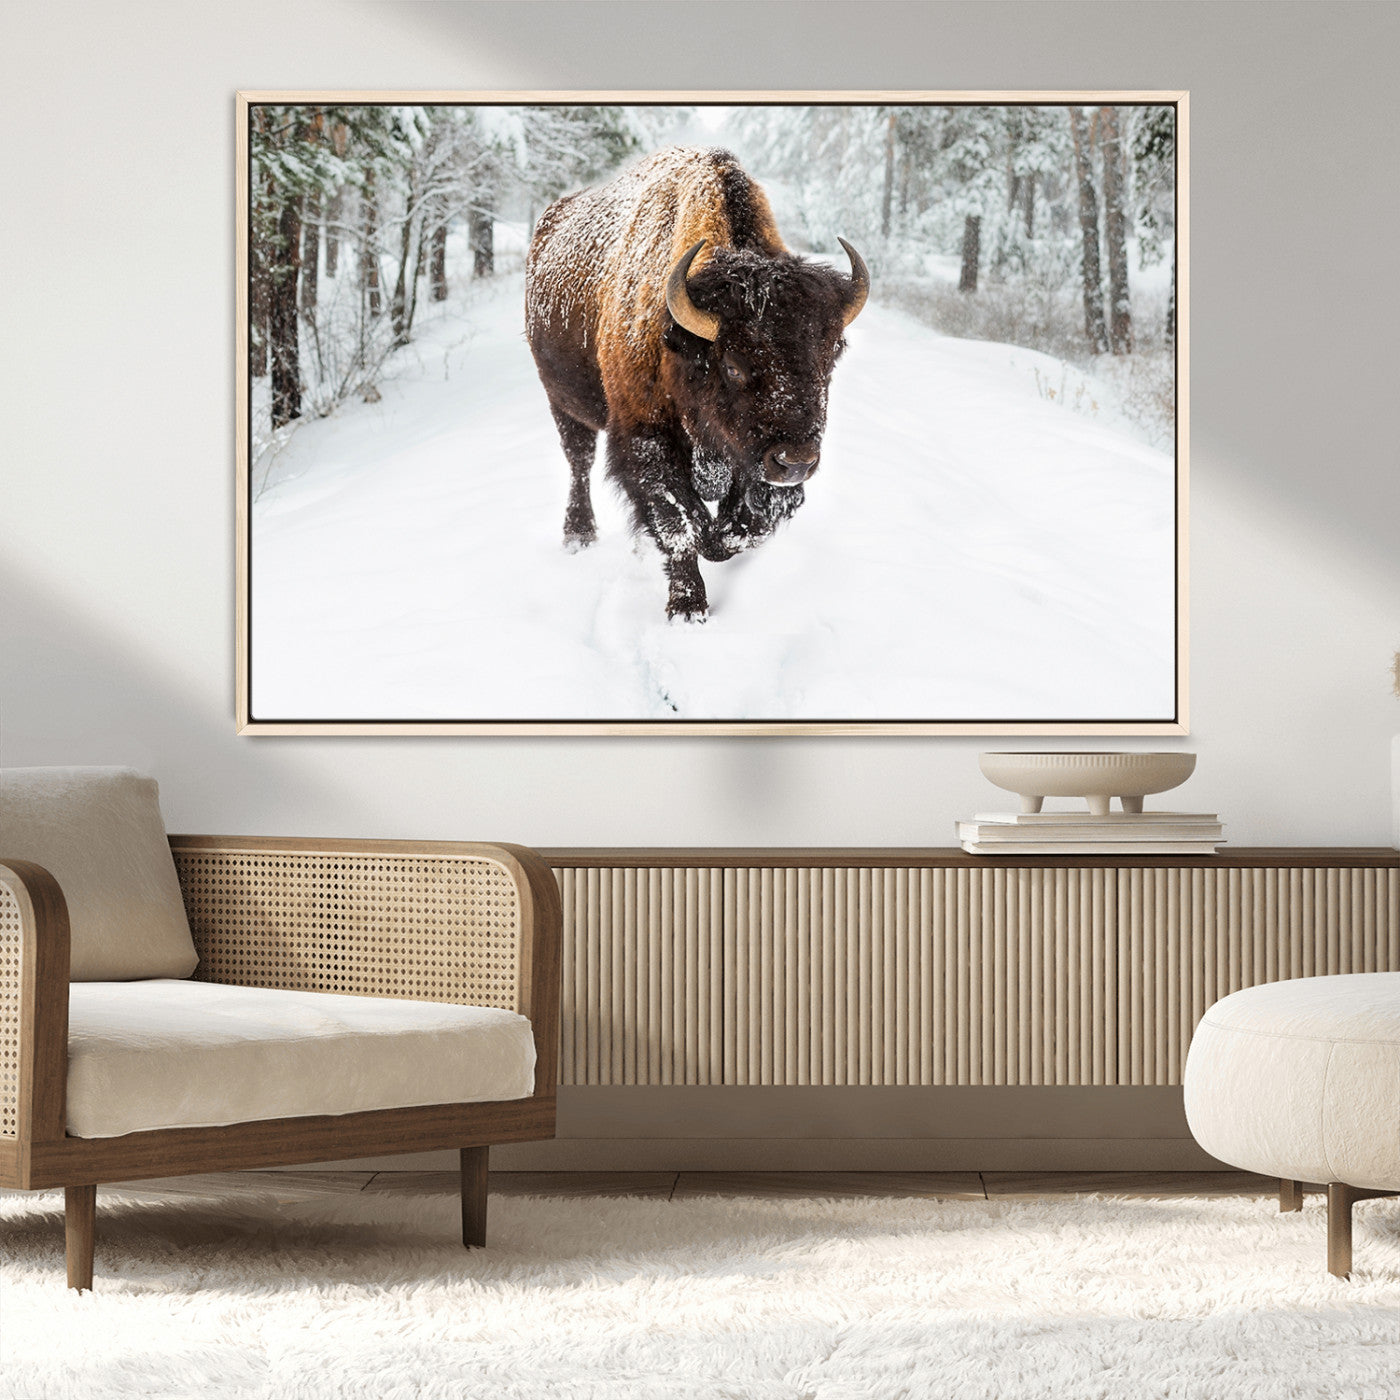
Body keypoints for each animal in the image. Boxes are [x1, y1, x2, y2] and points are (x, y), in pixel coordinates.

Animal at [525, 146, 867, 621]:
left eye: (831, 355)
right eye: (734, 366)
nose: (796, 462)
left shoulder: (749, 460)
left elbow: (746, 525)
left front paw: (717, 541)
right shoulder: (646, 439)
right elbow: (680, 524)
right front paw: (688, 607)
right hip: (562, 401)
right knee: (579, 461)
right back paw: (578, 535)